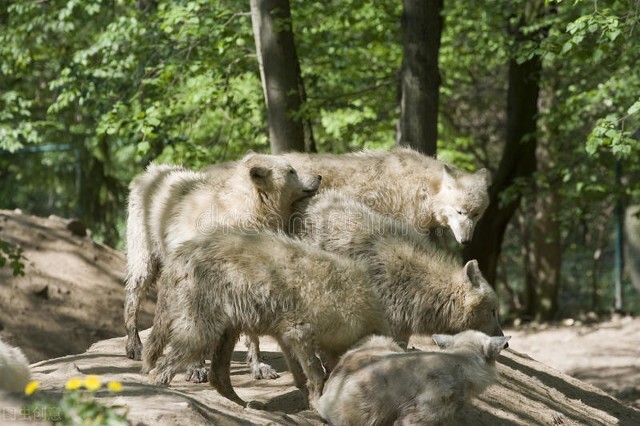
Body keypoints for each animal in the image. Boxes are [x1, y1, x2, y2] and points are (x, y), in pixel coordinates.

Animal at [123, 151, 320, 378]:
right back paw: (134, 345)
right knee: (136, 287)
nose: (319, 177)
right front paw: (196, 368)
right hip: (144, 245)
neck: (239, 215)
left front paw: (259, 365)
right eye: (291, 171)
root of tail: (149, 171)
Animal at [142, 228, 388, 408]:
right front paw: (317, 403)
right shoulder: (299, 332)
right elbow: (317, 374)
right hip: (202, 331)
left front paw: (310, 400)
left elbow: (301, 376)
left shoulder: (286, 335)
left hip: (227, 330)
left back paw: (244, 405)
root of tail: (177, 256)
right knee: (161, 369)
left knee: (218, 376)